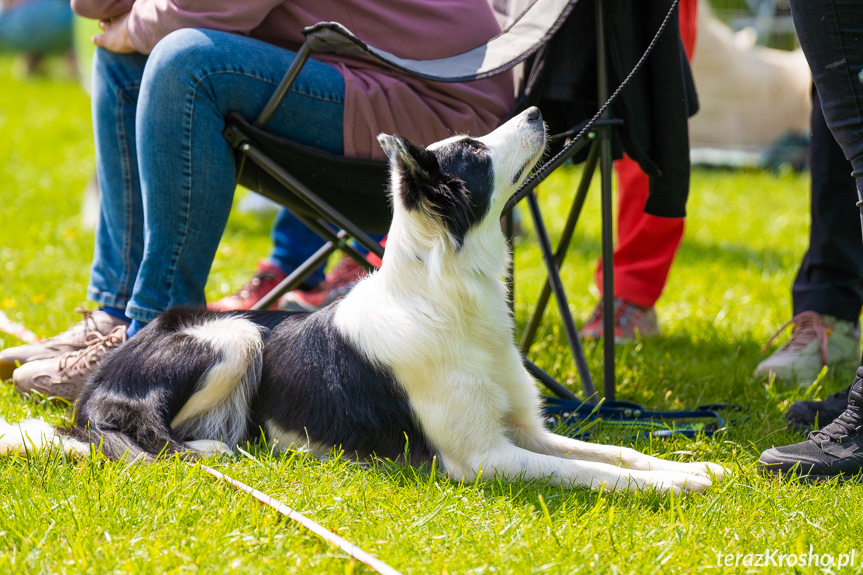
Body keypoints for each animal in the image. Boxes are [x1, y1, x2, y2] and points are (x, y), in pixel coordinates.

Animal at [3, 109, 724, 496]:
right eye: (475, 151)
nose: (539, 115)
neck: (446, 294)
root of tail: (98, 378)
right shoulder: (484, 459)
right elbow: (594, 474)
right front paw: (674, 485)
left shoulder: (527, 429)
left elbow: (616, 453)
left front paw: (696, 462)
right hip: (234, 335)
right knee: (140, 436)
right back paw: (216, 451)